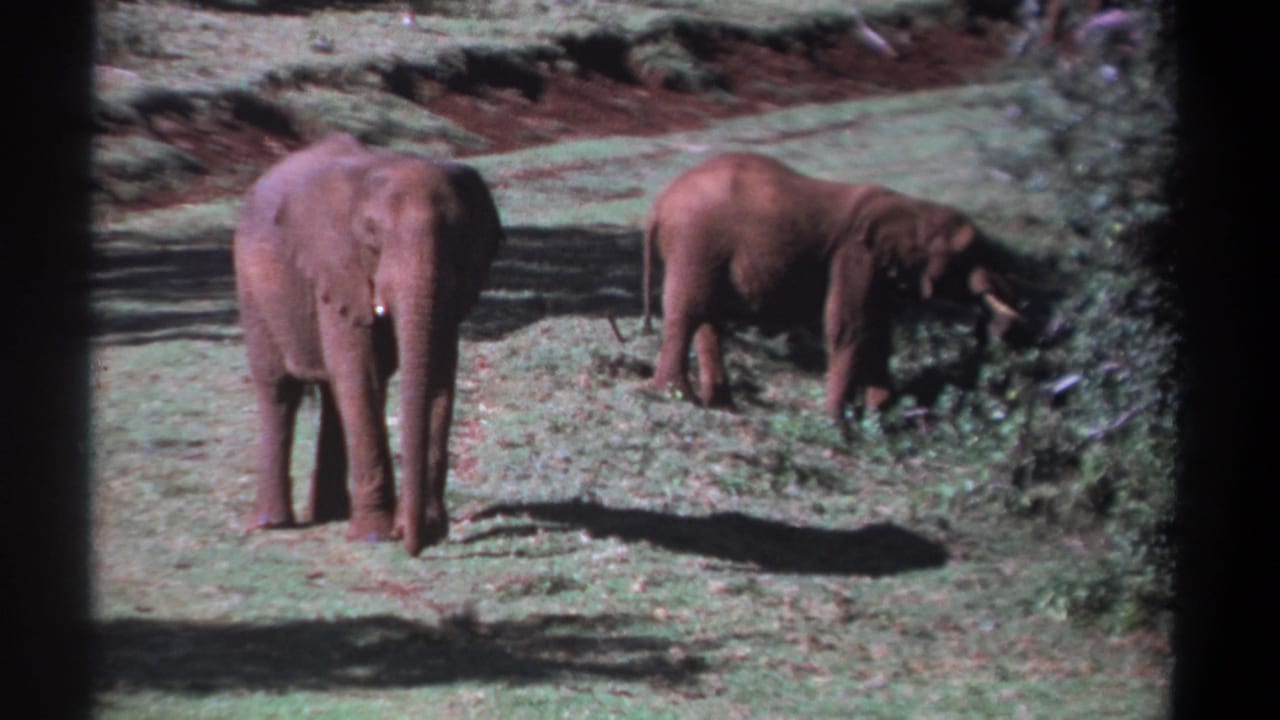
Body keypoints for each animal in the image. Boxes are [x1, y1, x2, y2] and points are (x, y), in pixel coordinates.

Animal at [233, 133, 503, 556]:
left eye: (458, 234)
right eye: (373, 235)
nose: (413, 544)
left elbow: (439, 374)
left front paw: (426, 528)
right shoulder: (336, 266)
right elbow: (359, 373)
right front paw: (376, 535)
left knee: (331, 395)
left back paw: (331, 513)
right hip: (253, 292)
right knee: (279, 391)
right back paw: (272, 524)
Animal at [642, 152, 1020, 421]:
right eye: (967, 254)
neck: (912, 209)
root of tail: (659, 203)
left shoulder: (876, 269)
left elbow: (879, 330)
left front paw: (880, 416)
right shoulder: (855, 256)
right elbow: (850, 326)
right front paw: (838, 420)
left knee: (707, 318)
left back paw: (722, 406)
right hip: (696, 242)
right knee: (688, 313)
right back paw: (679, 396)